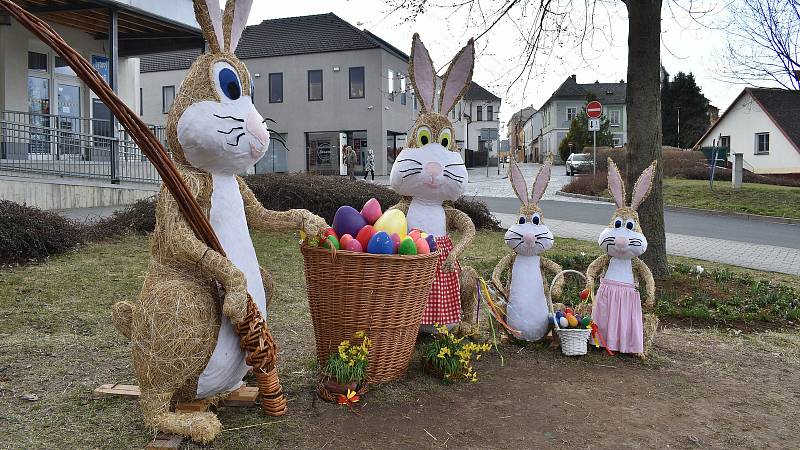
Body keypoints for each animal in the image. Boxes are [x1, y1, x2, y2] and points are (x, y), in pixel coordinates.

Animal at [111, 0, 326, 442]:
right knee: (154, 404)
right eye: (229, 85)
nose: (261, 137)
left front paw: (312, 222)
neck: (218, 175)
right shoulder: (185, 186)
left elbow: (264, 216)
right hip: (182, 314)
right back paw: (195, 422)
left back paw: (230, 393)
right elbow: (181, 242)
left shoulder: (241, 189)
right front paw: (236, 294)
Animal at [390, 34, 478, 334]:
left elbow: (469, 230)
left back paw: (463, 327)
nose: (433, 168)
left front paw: (449, 260)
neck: (428, 202)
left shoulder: (450, 213)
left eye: (446, 141)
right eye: (423, 138)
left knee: (470, 283)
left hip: (468, 280)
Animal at [490, 159, 564, 342]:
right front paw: (500, 286)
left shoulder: (543, 260)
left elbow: (557, 269)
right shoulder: (511, 257)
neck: (528, 255)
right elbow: (497, 271)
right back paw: (506, 336)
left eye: (537, 220)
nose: (529, 237)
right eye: (522, 220)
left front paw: (556, 290)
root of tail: (529, 339)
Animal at [584, 160, 660, 356]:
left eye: (631, 225)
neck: (621, 258)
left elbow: (649, 278)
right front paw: (589, 285)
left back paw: (637, 353)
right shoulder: (606, 257)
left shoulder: (637, 263)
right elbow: (591, 270)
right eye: (617, 223)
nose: (620, 241)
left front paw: (649, 301)